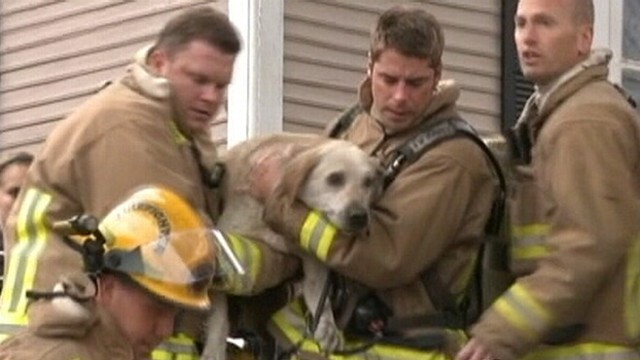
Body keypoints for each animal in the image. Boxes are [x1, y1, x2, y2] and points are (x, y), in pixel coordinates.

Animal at [201, 134, 380, 358]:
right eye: (335, 178)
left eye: (368, 182)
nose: (359, 217)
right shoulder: (231, 236)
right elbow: (220, 312)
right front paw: (214, 348)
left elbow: (318, 288)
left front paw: (326, 325)